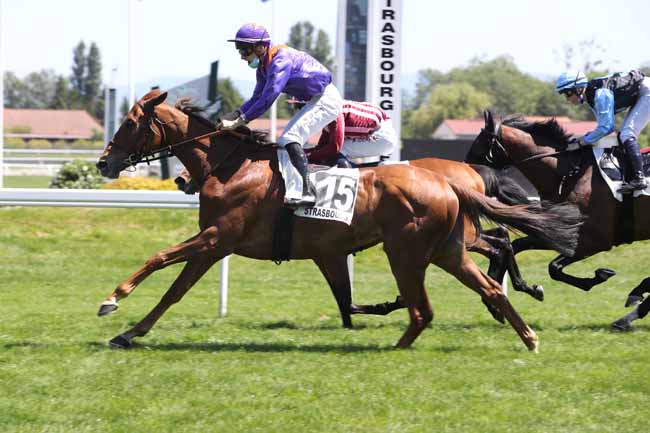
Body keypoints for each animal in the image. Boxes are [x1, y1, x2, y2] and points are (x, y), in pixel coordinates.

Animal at [95, 90, 582, 351]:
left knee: (433, 299)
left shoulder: (217, 238)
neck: (231, 165)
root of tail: (451, 181)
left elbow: (161, 262)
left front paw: (113, 301)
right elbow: (174, 289)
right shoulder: (225, 245)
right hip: (448, 250)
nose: (103, 162)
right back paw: (526, 333)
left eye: (131, 122)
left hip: (408, 252)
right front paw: (130, 332)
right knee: (486, 275)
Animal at [465, 110, 650, 330]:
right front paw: (496, 301)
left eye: (480, 141)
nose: (466, 167)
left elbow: (553, 268)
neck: (568, 174)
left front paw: (598, 276)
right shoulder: (560, 232)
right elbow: (514, 247)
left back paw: (628, 313)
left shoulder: (592, 241)